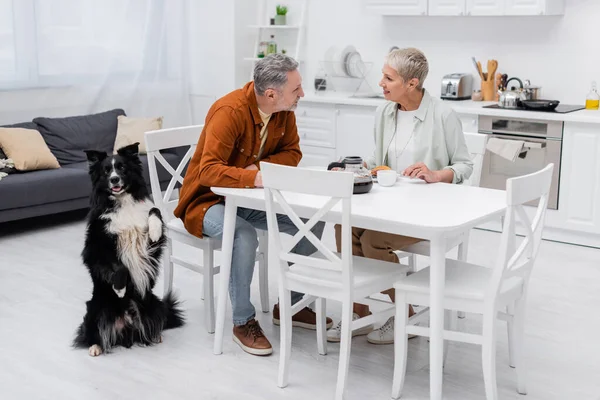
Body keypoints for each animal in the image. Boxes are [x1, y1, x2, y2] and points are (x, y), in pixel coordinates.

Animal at [74, 142, 184, 354]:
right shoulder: (95, 247)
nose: (114, 179)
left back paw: (155, 336)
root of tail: (125, 330)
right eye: (106, 171)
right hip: (95, 308)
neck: (123, 201)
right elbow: (120, 267)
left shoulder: (151, 248)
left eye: (122, 168)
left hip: (154, 303)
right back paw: (95, 347)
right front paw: (119, 289)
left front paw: (155, 230)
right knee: (91, 332)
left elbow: (155, 211)